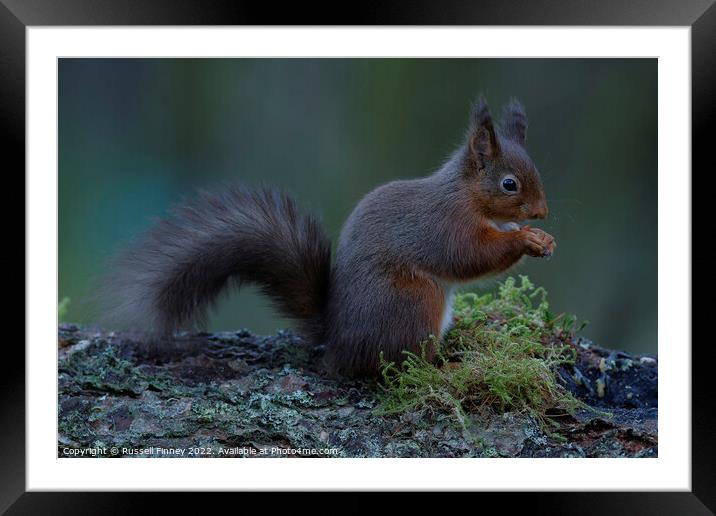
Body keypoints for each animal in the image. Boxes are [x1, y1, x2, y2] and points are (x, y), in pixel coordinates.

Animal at [105, 97, 552, 376]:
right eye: (510, 184)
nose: (543, 212)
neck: (465, 195)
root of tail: (338, 341)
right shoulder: (443, 225)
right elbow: (468, 256)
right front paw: (525, 239)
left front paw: (541, 238)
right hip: (412, 302)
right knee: (400, 364)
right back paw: (443, 368)